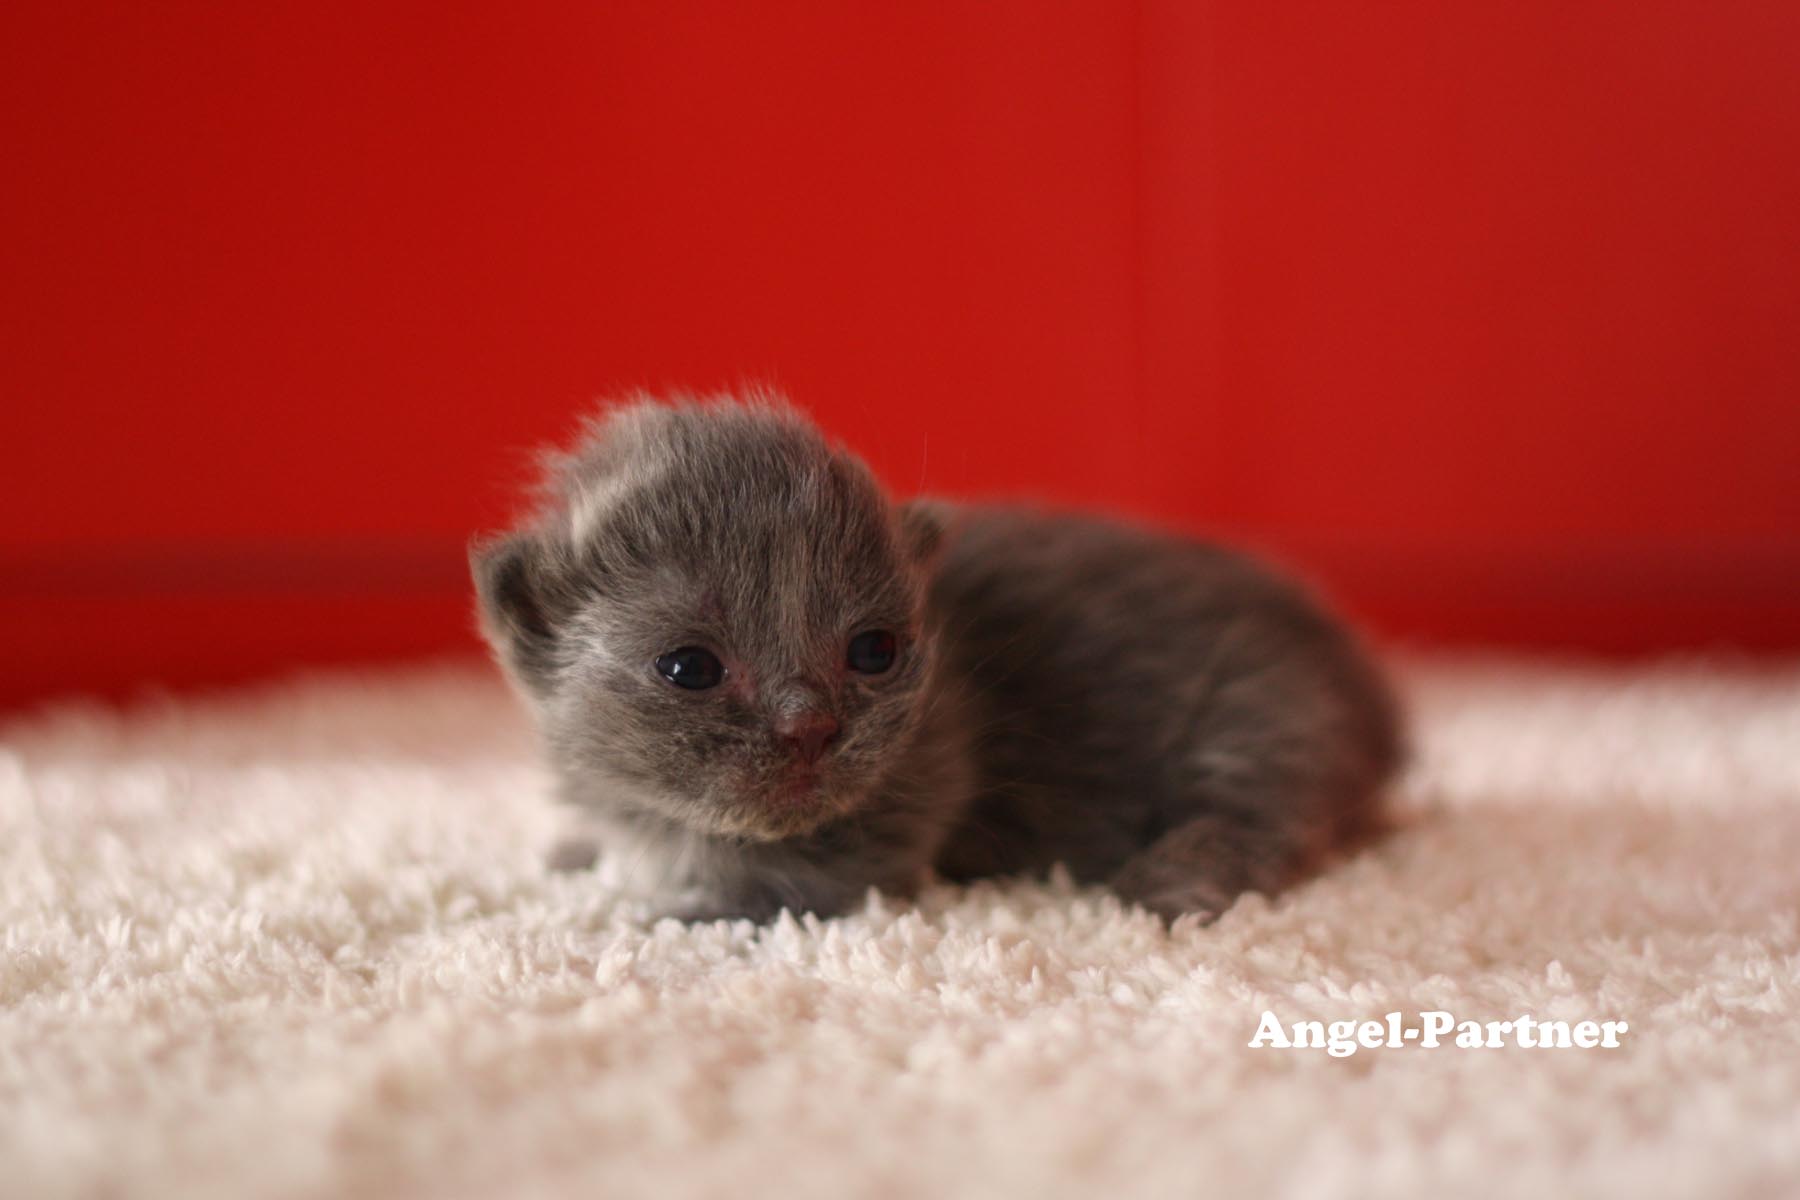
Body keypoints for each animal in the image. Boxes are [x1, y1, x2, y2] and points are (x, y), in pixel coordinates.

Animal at [471, 392, 1396, 921]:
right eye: (689, 668)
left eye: (872, 651)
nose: (811, 727)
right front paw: (581, 850)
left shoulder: (905, 799)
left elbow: (770, 890)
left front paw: (657, 913)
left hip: (1263, 716)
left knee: (1263, 818)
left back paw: (1166, 883)